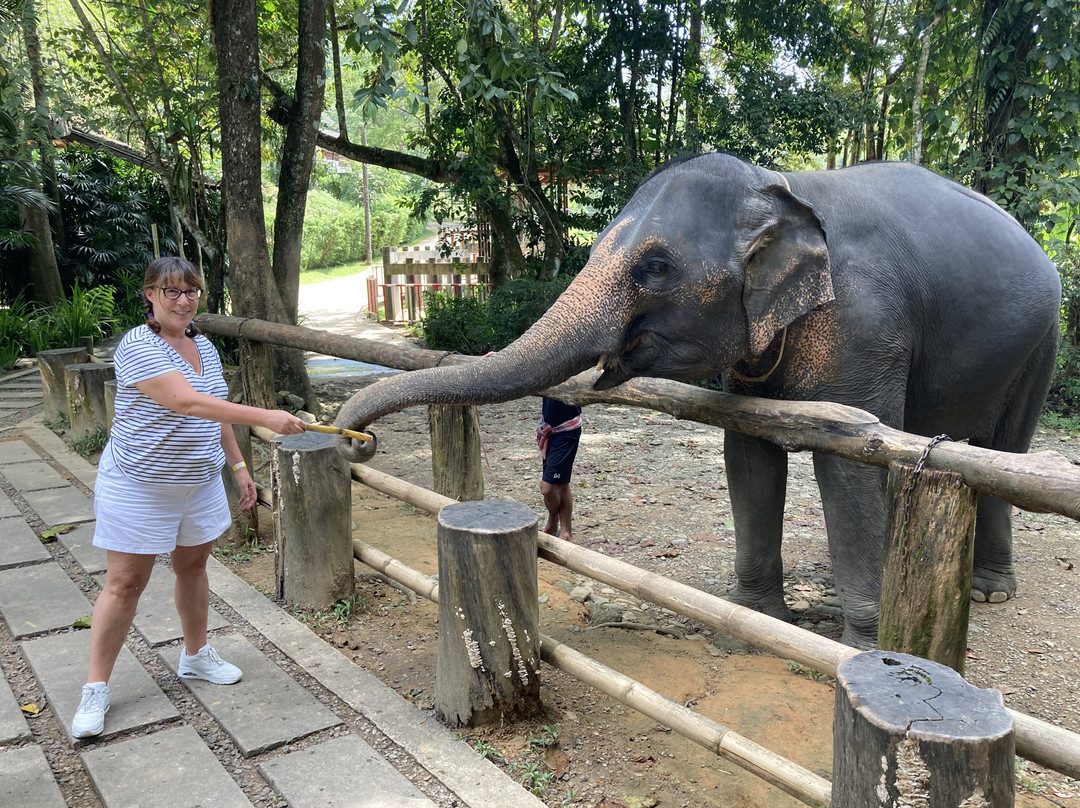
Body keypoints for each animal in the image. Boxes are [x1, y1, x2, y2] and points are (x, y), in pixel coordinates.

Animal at [334, 153, 1062, 649]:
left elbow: (851, 462)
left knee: (1004, 449)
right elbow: (748, 452)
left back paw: (989, 592)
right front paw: (757, 621)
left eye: (654, 268)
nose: (355, 441)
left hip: (1043, 341)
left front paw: (860, 648)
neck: (783, 186)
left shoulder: (868, 329)